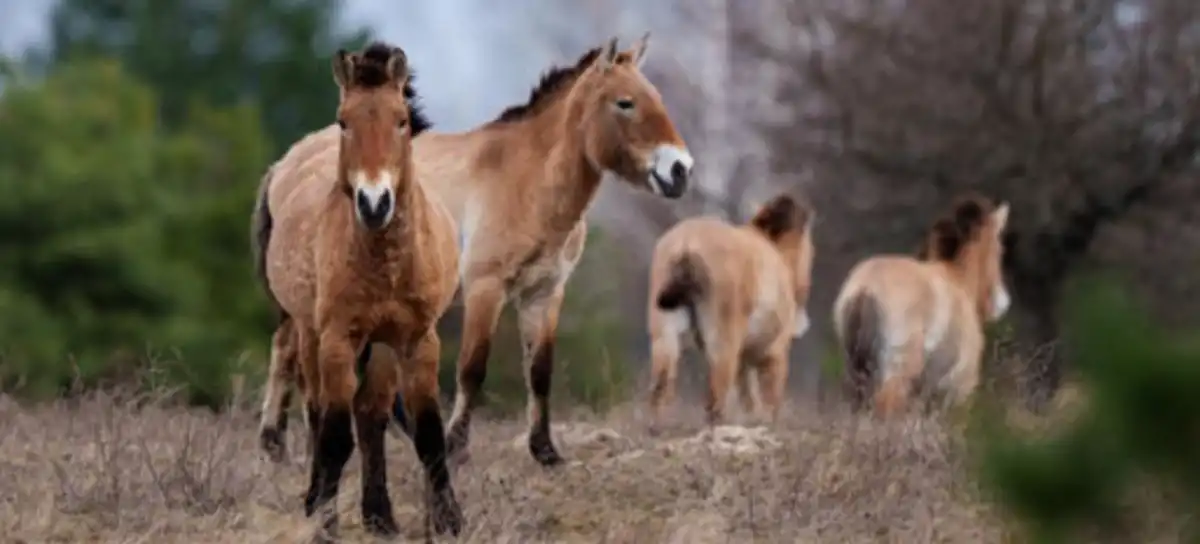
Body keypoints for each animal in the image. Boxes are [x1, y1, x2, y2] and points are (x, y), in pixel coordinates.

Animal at [250, 42, 463, 540]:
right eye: (345, 120)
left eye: (401, 120)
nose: (374, 203)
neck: (385, 263)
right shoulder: (338, 339)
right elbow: (333, 436)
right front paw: (325, 522)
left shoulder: (417, 339)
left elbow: (426, 433)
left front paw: (447, 521)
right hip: (310, 334)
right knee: (317, 410)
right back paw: (317, 499)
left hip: (380, 346)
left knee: (370, 413)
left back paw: (380, 515)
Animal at [256, 32, 695, 467]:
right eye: (625, 102)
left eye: (654, 96)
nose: (680, 170)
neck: (526, 180)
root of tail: (286, 163)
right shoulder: (486, 288)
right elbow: (472, 369)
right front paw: (455, 447)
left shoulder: (544, 292)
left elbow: (540, 372)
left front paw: (545, 451)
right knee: (290, 353)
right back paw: (280, 446)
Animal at [646, 194, 816, 431]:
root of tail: (687, 243)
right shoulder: (774, 350)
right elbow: (770, 397)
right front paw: (768, 425)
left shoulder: (745, 359)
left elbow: (747, 395)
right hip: (724, 338)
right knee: (716, 395)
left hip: (664, 332)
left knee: (659, 386)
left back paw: (655, 428)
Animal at [832, 194, 1011, 418]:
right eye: (1000, 249)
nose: (1001, 303)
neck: (957, 279)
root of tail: (864, 290)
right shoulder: (958, 390)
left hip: (855, 372)